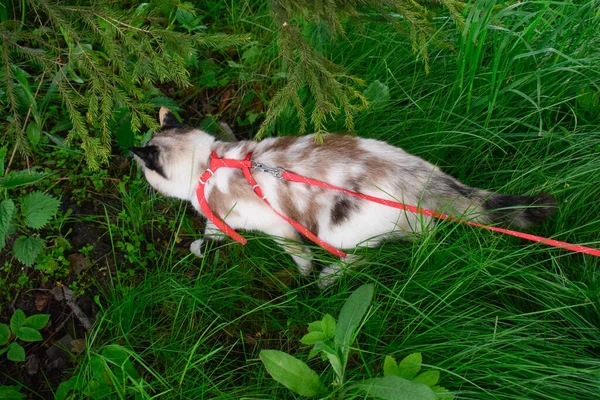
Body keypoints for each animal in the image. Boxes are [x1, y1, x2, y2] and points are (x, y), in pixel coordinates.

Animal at [131, 107, 556, 288]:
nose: (138, 176)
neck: (211, 162)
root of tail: (425, 177)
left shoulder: (278, 226)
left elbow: (296, 254)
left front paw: (302, 276)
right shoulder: (223, 216)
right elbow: (213, 230)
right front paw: (201, 247)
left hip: (338, 233)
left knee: (366, 258)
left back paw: (326, 279)